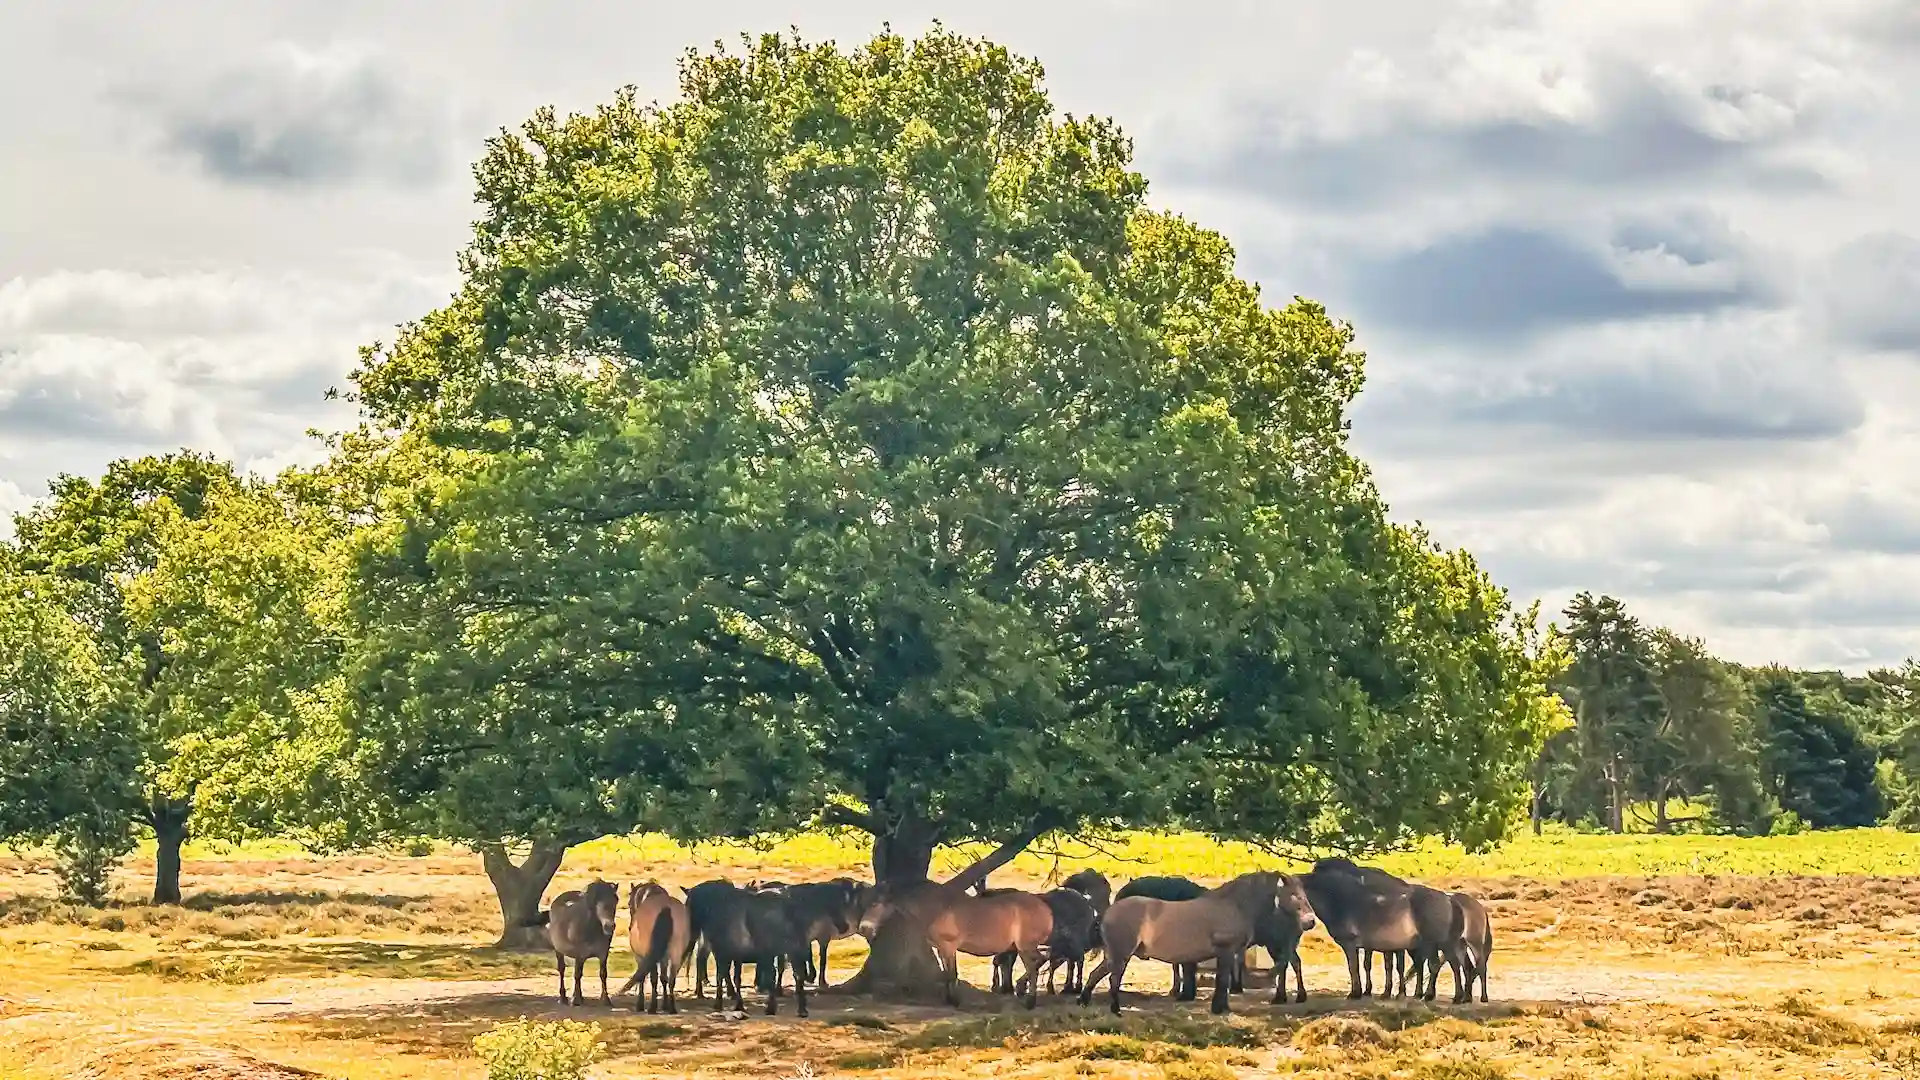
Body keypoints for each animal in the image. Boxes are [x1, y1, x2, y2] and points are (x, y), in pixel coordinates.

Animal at [542, 878, 620, 1007]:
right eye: (596, 901)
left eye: (616, 899)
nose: (609, 926)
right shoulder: (579, 954)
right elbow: (577, 974)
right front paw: (576, 999)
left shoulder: (603, 954)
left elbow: (603, 974)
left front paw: (606, 1000)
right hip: (559, 950)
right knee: (562, 970)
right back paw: (563, 998)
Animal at [611, 881, 692, 1014]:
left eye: (629, 904)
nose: (630, 927)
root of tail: (665, 908)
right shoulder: (664, 958)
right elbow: (664, 978)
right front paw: (665, 1005)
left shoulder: (640, 957)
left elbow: (643, 978)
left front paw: (640, 1005)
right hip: (675, 954)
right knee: (671, 979)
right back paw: (672, 1008)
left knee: (653, 978)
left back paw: (652, 1008)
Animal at [1079, 871, 1311, 1016]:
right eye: (1295, 895)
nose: (1310, 922)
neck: (1233, 905)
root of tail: (1107, 912)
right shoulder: (1225, 951)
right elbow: (1222, 981)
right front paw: (1218, 1008)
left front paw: (1223, 1007)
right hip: (1121, 954)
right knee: (1113, 979)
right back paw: (1115, 1009)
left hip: (1114, 954)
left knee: (1097, 974)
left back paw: (1084, 1000)